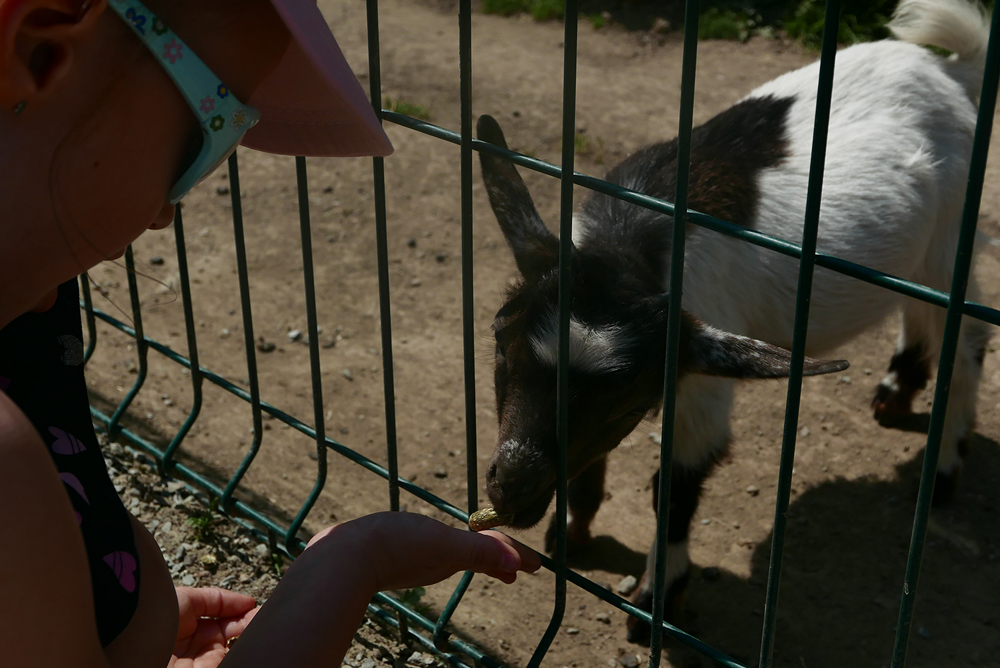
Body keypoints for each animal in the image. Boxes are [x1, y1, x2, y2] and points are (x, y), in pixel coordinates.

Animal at [476, 0, 992, 644]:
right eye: (500, 342)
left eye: (626, 402)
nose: (511, 487)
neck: (633, 239)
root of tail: (951, 69)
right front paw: (571, 527)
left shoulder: (698, 381)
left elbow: (674, 489)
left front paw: (657, 599)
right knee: (918, 314)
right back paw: (897, 390)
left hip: (950, 240)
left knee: (965, 340)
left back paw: (944, 467)